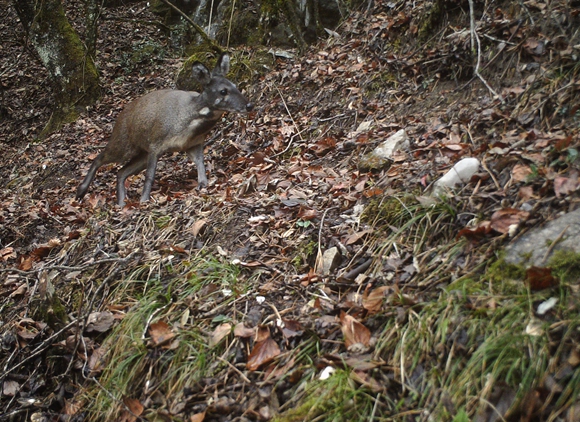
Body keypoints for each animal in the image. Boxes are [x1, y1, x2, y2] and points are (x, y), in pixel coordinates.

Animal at [76, 53, 253, 205]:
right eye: (223, 91)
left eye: (235, 85)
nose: (249, 105)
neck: (186, 123)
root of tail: (119, 118)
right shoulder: (156, 143)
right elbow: (150, 175)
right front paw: (144, 200)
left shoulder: (193, 144)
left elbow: (200, 163)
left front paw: (203, 184)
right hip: (124, 143)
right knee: (100, 157)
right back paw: (81, 191)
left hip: (141, 152)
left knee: (120, 172)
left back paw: (120, 204)